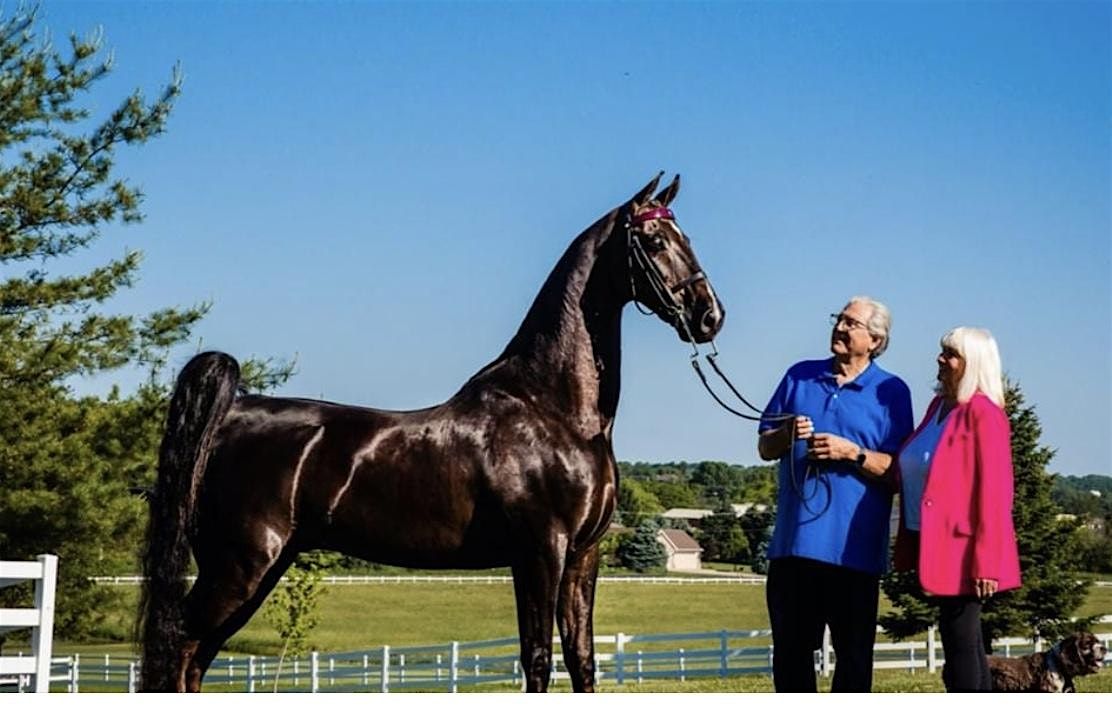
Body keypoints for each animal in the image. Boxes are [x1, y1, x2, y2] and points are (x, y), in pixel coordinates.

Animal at [139, 172, 725, 689]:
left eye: (687, 239)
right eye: (653, 241)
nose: (709, 316)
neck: (555, 409)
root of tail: (230, 416)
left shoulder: (583, 555)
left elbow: (581, 659)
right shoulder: (541, 551)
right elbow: (537, 658)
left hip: (259, 570)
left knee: (194, 659)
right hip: (238, 568)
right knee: (179, 651)